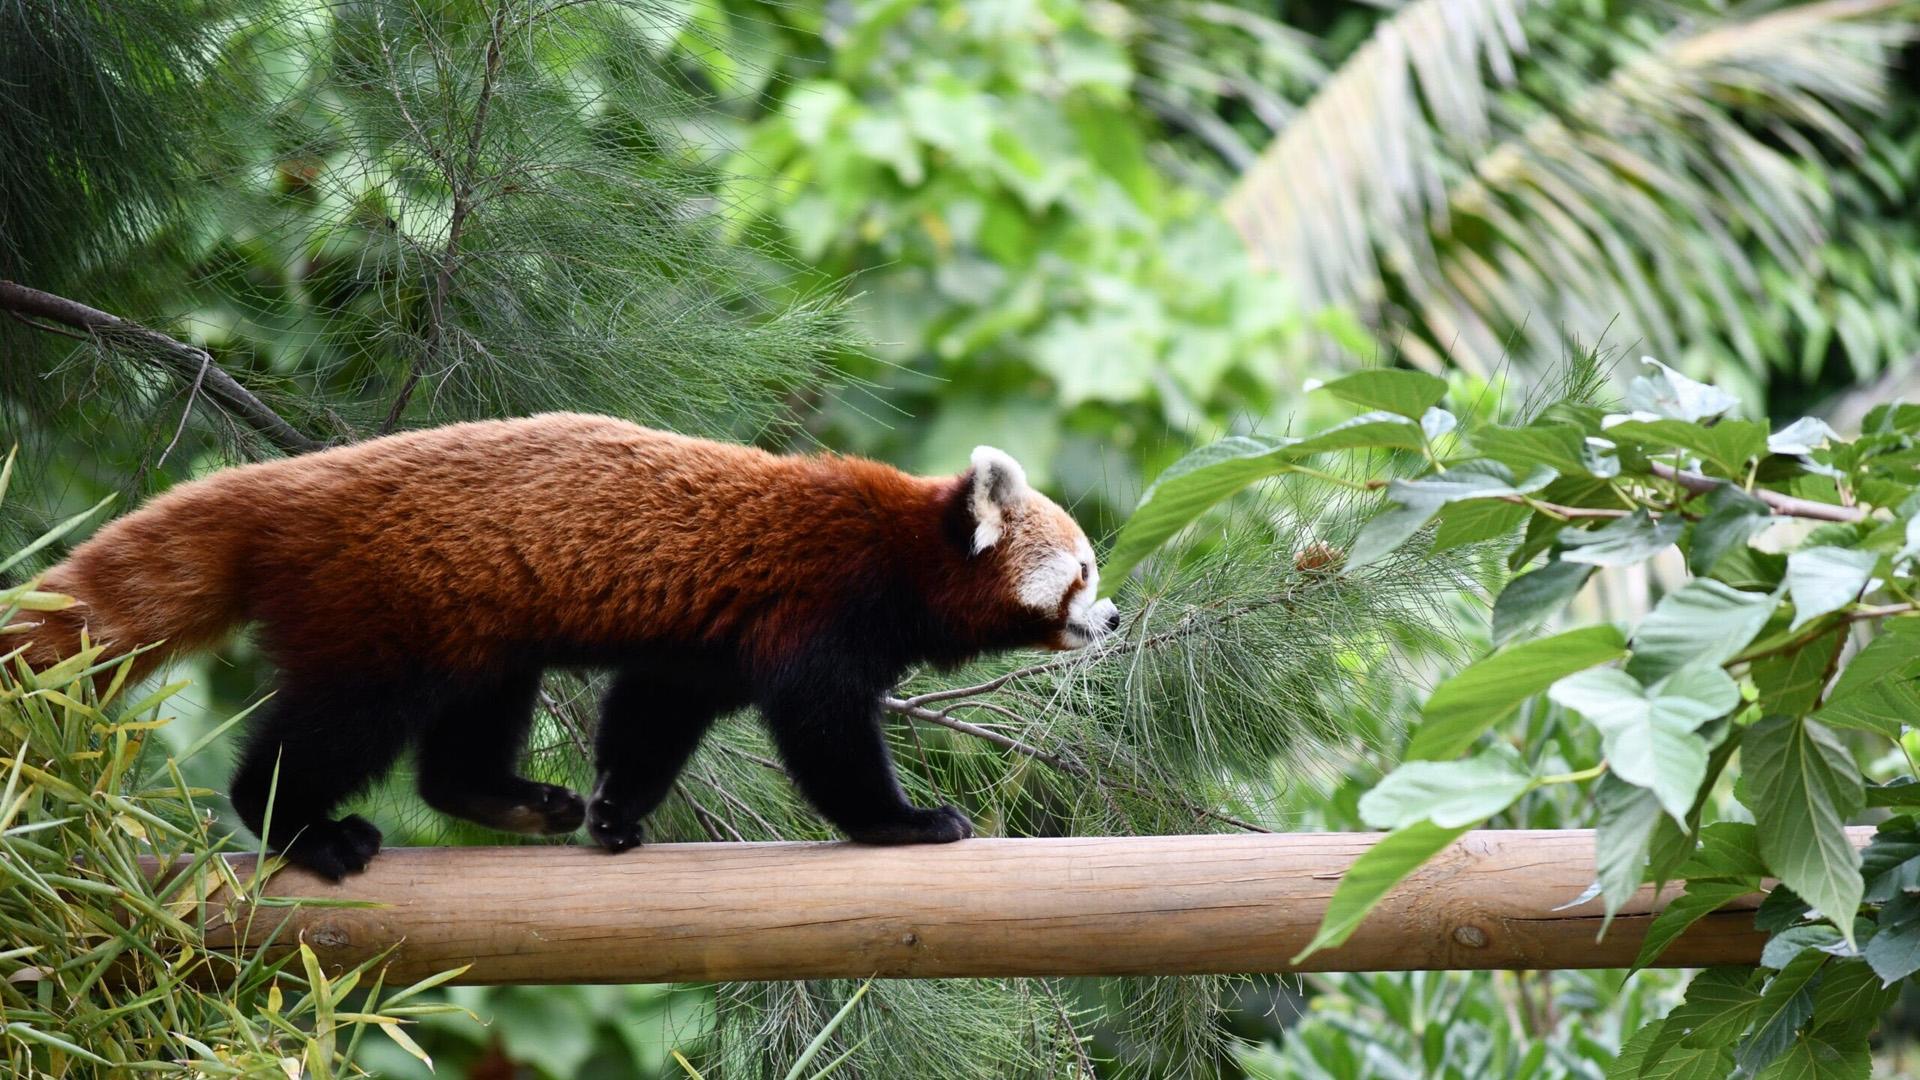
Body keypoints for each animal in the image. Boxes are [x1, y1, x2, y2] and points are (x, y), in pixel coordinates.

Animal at [24, 414, 1120, 879]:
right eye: (1083, 570)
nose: (1112, 621)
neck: (905, 547)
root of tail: (292, 483)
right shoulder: (822, 609)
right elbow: (825, 732)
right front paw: (905, 822)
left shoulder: (699, 645)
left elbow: (650, 717)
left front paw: (615, 813)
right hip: (382, 612)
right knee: (338, 727)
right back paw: (302, 829)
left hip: (478, 625)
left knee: (465, 730)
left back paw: (512, 800)